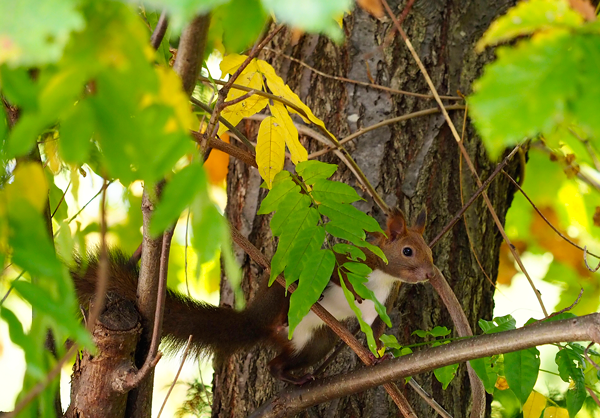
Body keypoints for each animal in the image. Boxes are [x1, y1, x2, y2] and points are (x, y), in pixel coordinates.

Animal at [72, 209, 434, 386]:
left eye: (429, 250)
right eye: (408, 251)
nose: (431, 274)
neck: (383, 276)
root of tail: (256, 322)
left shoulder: (383, 305)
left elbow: (376, 333)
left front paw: (379, 357)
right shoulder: (344, 263)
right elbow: (338, 275)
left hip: (314, 342)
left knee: (278, 363)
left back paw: (294, 376)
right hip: (281, 296)